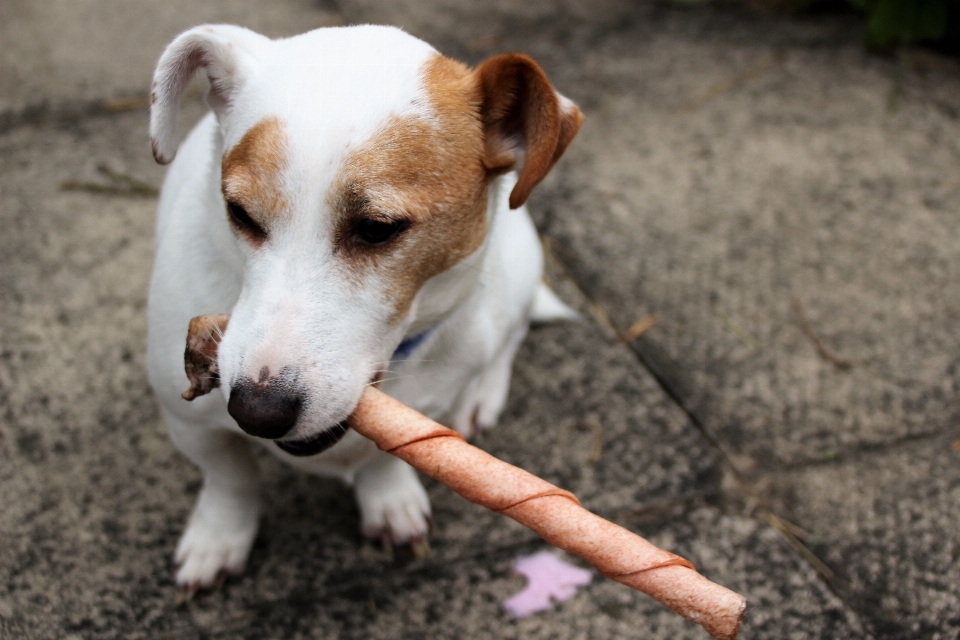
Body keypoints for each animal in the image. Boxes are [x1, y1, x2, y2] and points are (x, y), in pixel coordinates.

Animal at [148, 25, 584, 596]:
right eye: (239, 213)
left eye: (378, 229)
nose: (257, 412)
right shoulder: (189, 422)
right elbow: (231, 478)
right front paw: (220, 537)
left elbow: (383, 459)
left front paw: (389, 497)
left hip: (517, 273)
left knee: (509, 337)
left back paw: (482, 395)